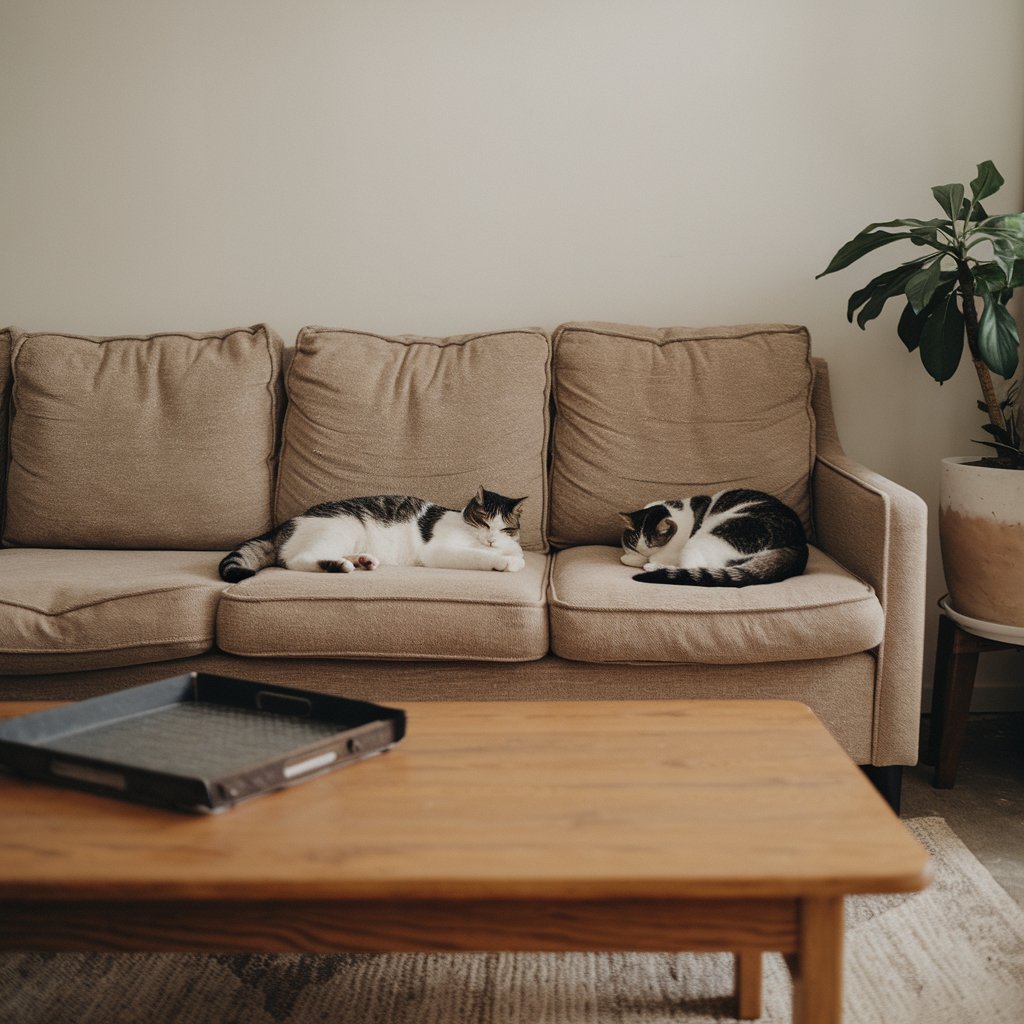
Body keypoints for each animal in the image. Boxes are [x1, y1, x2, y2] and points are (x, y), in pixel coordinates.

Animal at [222, 489, 528, 585]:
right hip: (343, 527)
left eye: (504, 528)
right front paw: (502, 561)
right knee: (298, 559)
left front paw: (508, 553)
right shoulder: (439, 551)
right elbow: (479, 555)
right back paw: (341, 566)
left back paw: (362, 560)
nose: (491, 540)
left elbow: (517, 552)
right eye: (484, 522)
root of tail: (285, 524)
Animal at [614, 489, 806, 589]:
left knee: (693, 566)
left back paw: (653, 567)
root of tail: (799, 544)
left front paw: (645, 560)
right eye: (636, 543)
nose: (645, 554)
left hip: (713, 536)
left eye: (652, 542)